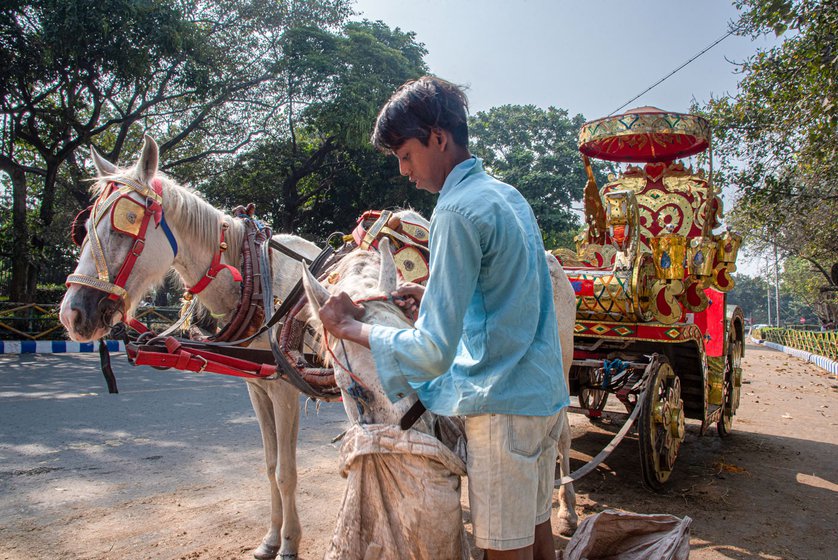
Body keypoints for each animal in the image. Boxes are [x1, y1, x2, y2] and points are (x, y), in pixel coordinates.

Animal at [59, 137, 320, 560]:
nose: (71, 314)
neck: (256, 280)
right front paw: (270, 539)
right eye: (84, 228)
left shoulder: (285, 389)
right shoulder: (258, 386)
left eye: (126, 223)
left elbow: (286, 472)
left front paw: (289, 542)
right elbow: (269, 466)